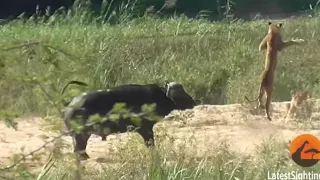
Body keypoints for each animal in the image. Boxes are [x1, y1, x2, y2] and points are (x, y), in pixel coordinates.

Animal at [60, 81, 195, 160]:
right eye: (180, 92)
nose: (193, 101)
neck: (158, 98)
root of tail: (69, 104)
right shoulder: (145, 129)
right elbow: (150, 143)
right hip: (80, 135)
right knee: (78, 149)